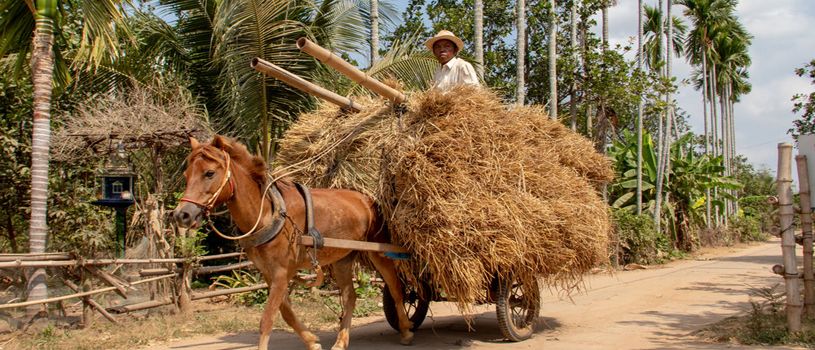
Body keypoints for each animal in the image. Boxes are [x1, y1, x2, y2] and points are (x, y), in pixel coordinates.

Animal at [172, 136, 414, 350]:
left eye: (209, 173)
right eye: (186, 175)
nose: (181, 215)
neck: (268, 213)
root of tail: (367, 198)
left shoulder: (281, 272)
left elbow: (267, 319)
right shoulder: (270, 274)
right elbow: (285, 312)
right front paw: (312, 341)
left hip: (380, 252)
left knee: (395, 289)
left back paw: (406, 330)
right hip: (342, 260)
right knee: (349, 296)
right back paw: (341, 341)